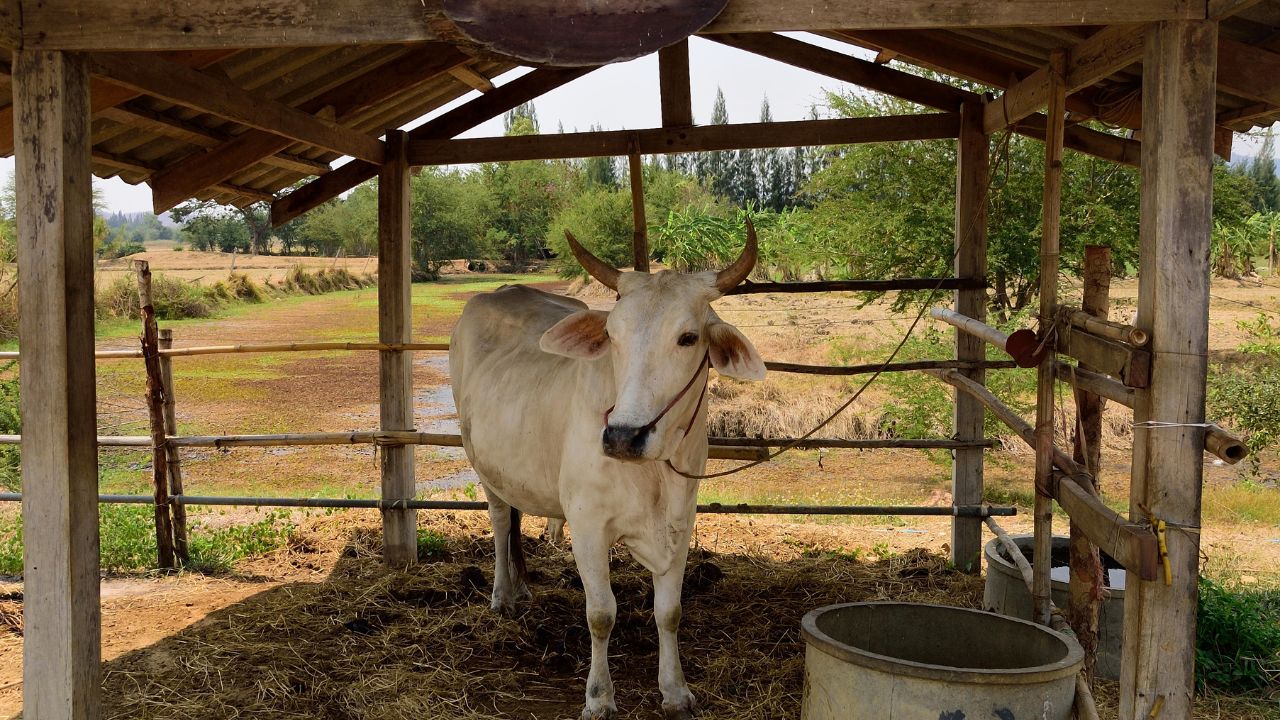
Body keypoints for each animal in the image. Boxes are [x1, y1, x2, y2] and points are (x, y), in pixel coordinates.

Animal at [449, 226, 766, 719]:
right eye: (612, 334)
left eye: (688, 337)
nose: (621, 437)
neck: (653, 476)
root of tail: (502, 290)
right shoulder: (587, 526)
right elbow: (601, 613)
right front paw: (599, 697)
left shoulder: (681, 523)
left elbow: (669, 612)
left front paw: (675, 691)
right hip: (480, 462)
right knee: (501, 520)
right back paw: (503, 594)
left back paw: (520, 588)